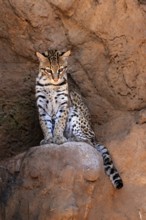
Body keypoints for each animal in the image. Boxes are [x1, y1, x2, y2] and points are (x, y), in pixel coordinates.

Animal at [35, 49, 123, 189]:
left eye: (61, 69)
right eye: (48, 70)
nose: (56, 78)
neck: (51, 85)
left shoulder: (64, 104)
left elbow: (59, 123)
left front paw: (58, 138)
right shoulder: (42, 106)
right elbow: (45, 124)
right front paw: (48, 138)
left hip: (76, 115)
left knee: (88, 142)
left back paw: (72, 138)